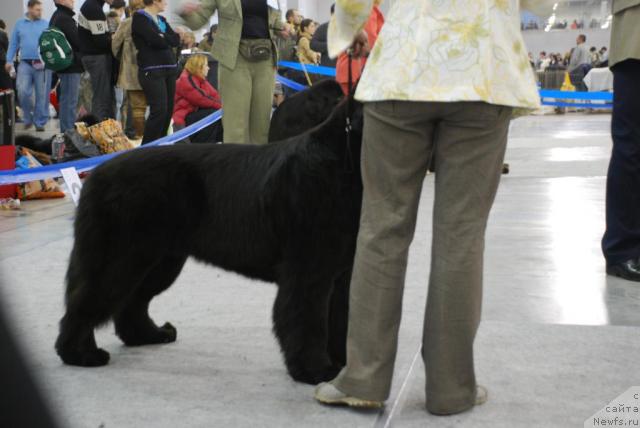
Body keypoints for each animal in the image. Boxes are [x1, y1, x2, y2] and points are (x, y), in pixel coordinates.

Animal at [55, 81, 364, 384]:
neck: (342, 161)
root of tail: (96, 175)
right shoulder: (308, 270)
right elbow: (307, 319)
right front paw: (315, 370)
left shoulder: (342, 272)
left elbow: (342, 319)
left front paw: (343, 365)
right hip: (120, 258)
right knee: (87, 301)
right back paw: (81, 354)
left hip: (159, 261)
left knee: (132, 302)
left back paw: (150, 335)